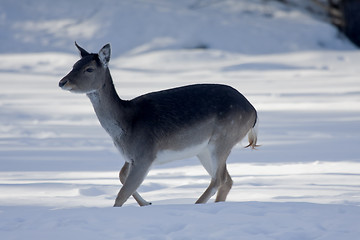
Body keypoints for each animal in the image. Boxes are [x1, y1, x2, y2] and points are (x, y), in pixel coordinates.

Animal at [59, 42, 258, 206]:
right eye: (74, 65)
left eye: (89, 69)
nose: (62, 82)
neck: (126, 125)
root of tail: (253, 111)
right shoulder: (131, 156)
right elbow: (121, 176)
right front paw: (147, 203)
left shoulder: (145, 153)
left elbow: (121, 195)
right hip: (203, 150)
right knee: (227, 180)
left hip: (224, 138)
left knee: (219, 179)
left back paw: (196, 204)